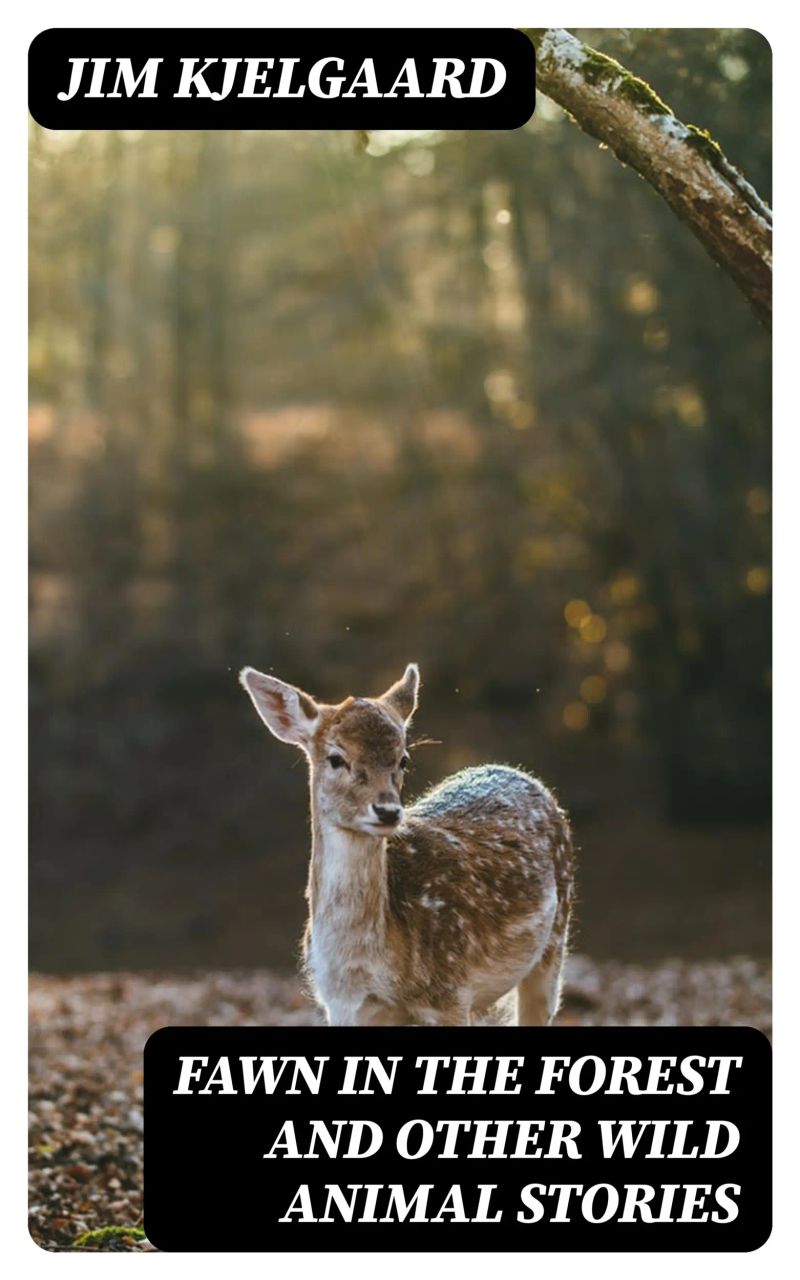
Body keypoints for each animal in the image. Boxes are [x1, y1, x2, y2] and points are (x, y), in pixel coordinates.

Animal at [240, 663, 574, 1027]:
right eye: (335, 758)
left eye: (403, 759)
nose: (387, 810)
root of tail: (517, 772)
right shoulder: (342, 1005)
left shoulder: (451, 991)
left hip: (555, 941)